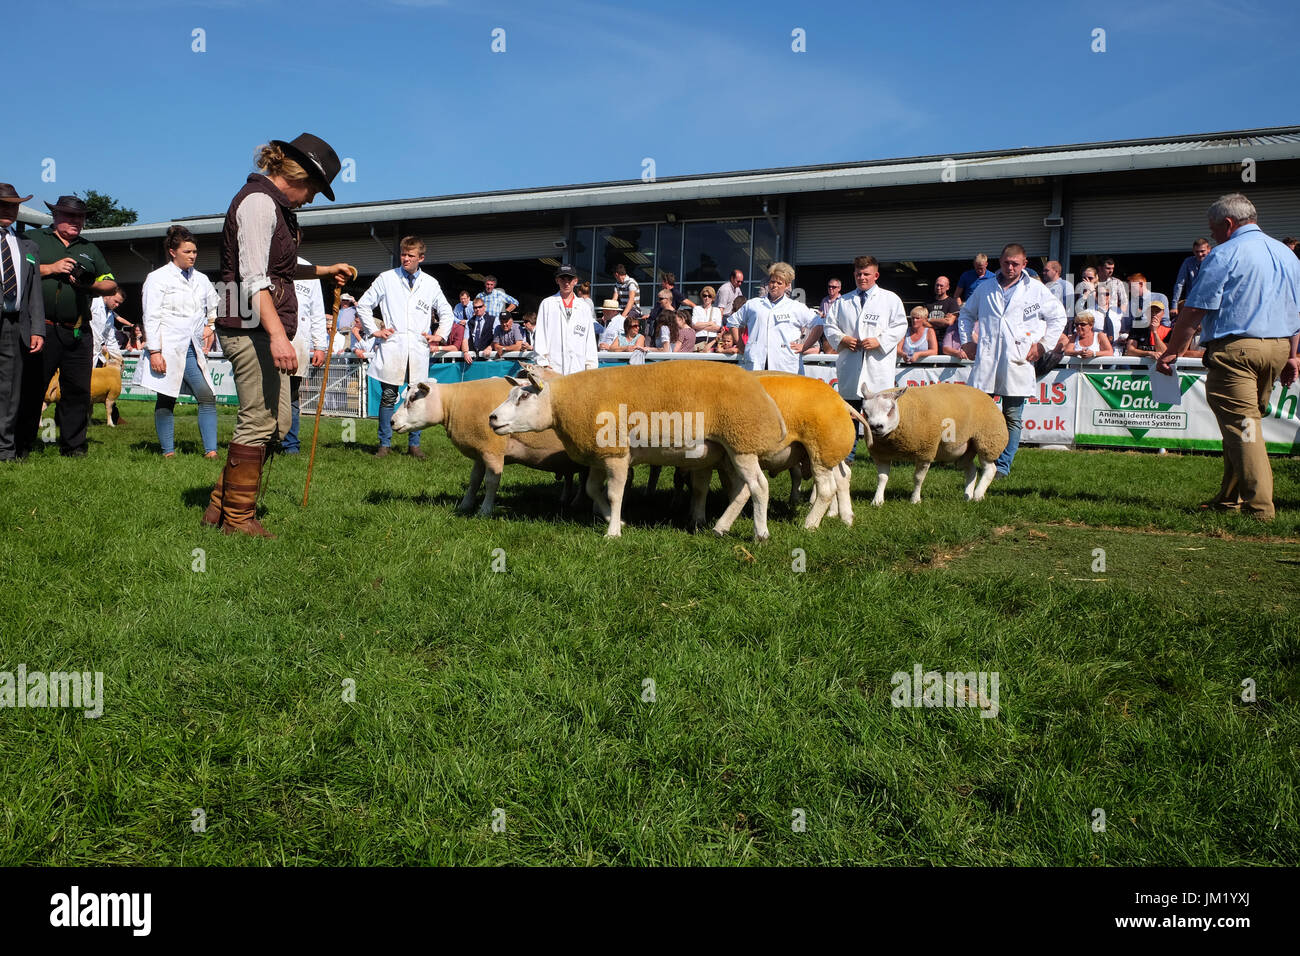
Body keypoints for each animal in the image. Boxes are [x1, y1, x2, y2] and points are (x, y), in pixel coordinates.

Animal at [387, 379, 582, 515]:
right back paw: (567, 500)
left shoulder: (492, 450)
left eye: (412, 399)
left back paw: (576, 503)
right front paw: (465, 505)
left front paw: (485, 510)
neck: (452, 404)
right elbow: (474, 480)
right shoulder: (480, 452)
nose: (392, 422)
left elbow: (491, 482)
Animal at [491, 361, 785, 538]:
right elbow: (593, 490)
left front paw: (612, 532)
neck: (561, 403)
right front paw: (616, 521)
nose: (492, 418)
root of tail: (762, 393)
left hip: (742, 441)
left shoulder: (617, 453)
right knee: (742, 489)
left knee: (759, 487)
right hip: (730, 451)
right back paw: (720, 527)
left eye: (524, 396)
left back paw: (760, 534)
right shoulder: (600, 456)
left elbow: (614, 493)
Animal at [857, 382, 1008, 504]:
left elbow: (918, 478)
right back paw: (967, 496)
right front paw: (877, 501)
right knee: (971, 470)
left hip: (988, 440)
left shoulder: (925, 451)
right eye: (865, 412)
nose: (875, 427)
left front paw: (915, 500)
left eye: (891, 409)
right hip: (962, 450)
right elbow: (882, 478)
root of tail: (986, 396)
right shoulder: (881, 454)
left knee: (990, 469)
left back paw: (978, 495)